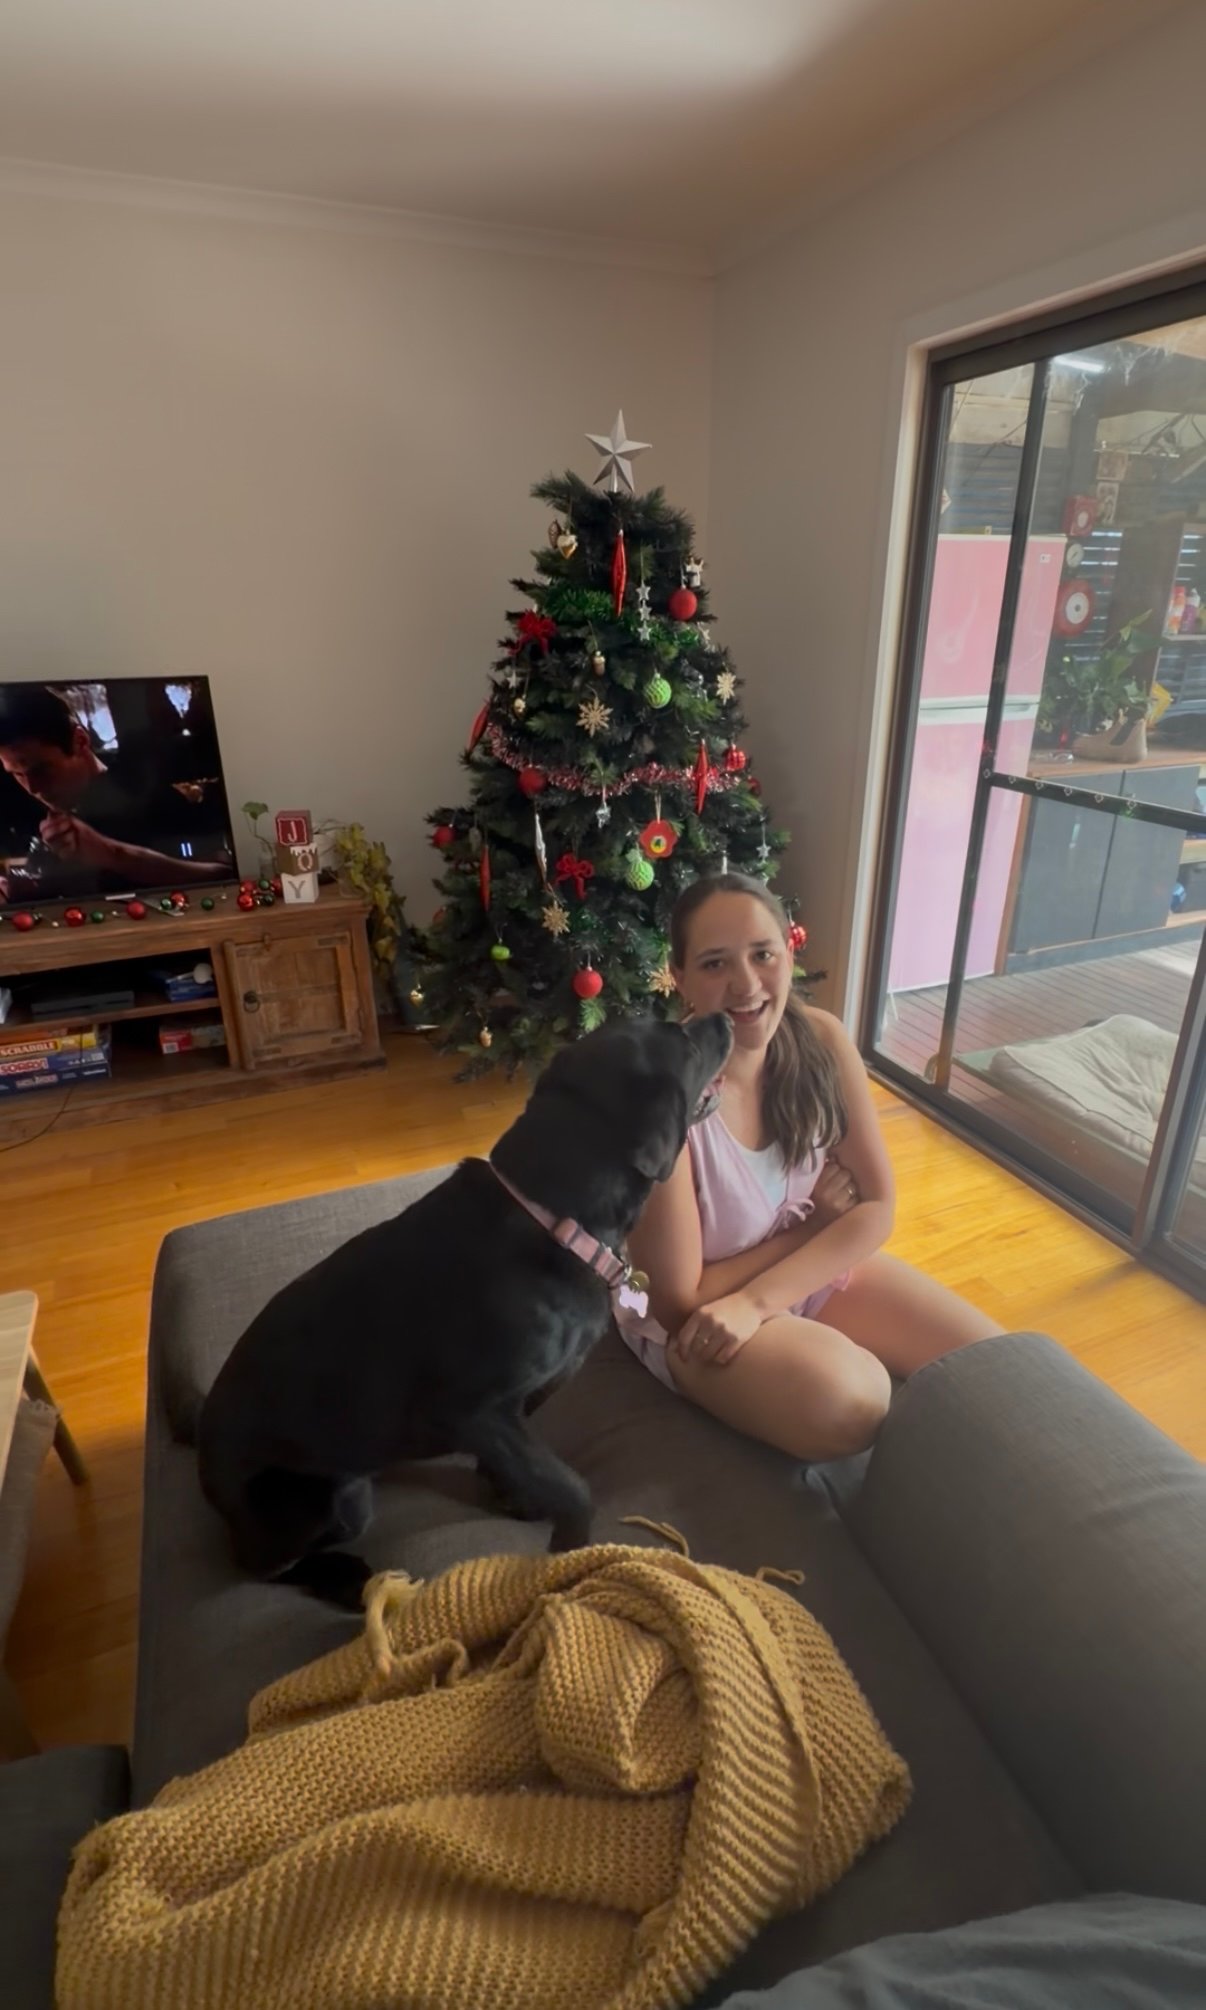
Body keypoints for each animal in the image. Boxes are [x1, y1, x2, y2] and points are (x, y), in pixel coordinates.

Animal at [197, 1011, 732, 1605]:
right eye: (681, 1039)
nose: (725, 1016)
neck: (554, 1215)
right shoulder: (468, 1409)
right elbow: (574, 1488)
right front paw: (567, 1554)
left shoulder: (515, 1411)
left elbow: (524, 1469)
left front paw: (515, 1500)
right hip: (323, 1499)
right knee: (259, 1565)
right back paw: (343, 1578)